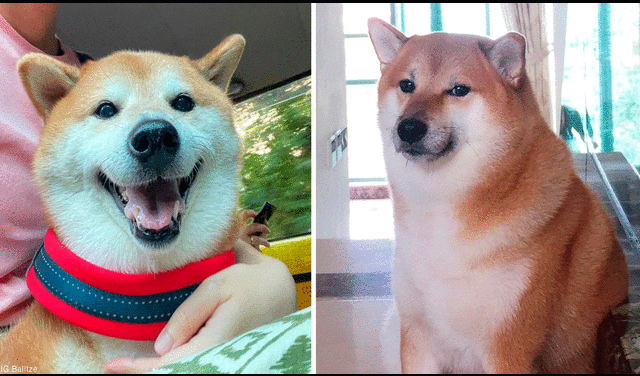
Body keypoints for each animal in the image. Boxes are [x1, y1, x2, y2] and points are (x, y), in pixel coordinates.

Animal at [368, 18, 628, 374]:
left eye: (459, 90)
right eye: (407, 84)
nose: (408, 127)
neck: (440, 208)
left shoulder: (507, 347)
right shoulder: (417, 337)